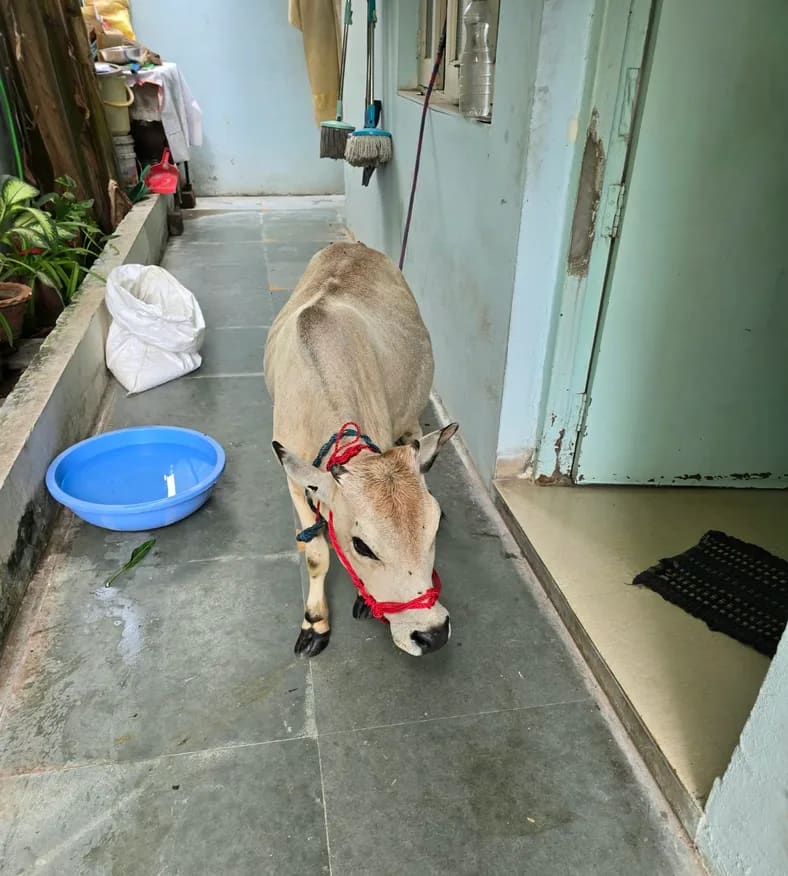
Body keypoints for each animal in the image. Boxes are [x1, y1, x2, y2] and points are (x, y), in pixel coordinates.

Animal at [264, 241, 458, 658]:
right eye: (362, 545)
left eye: (432, 527)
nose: (432, 634)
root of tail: (354, 244)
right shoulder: (293, 480)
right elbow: (317, 555)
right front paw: (315, 623)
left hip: (411, 407)